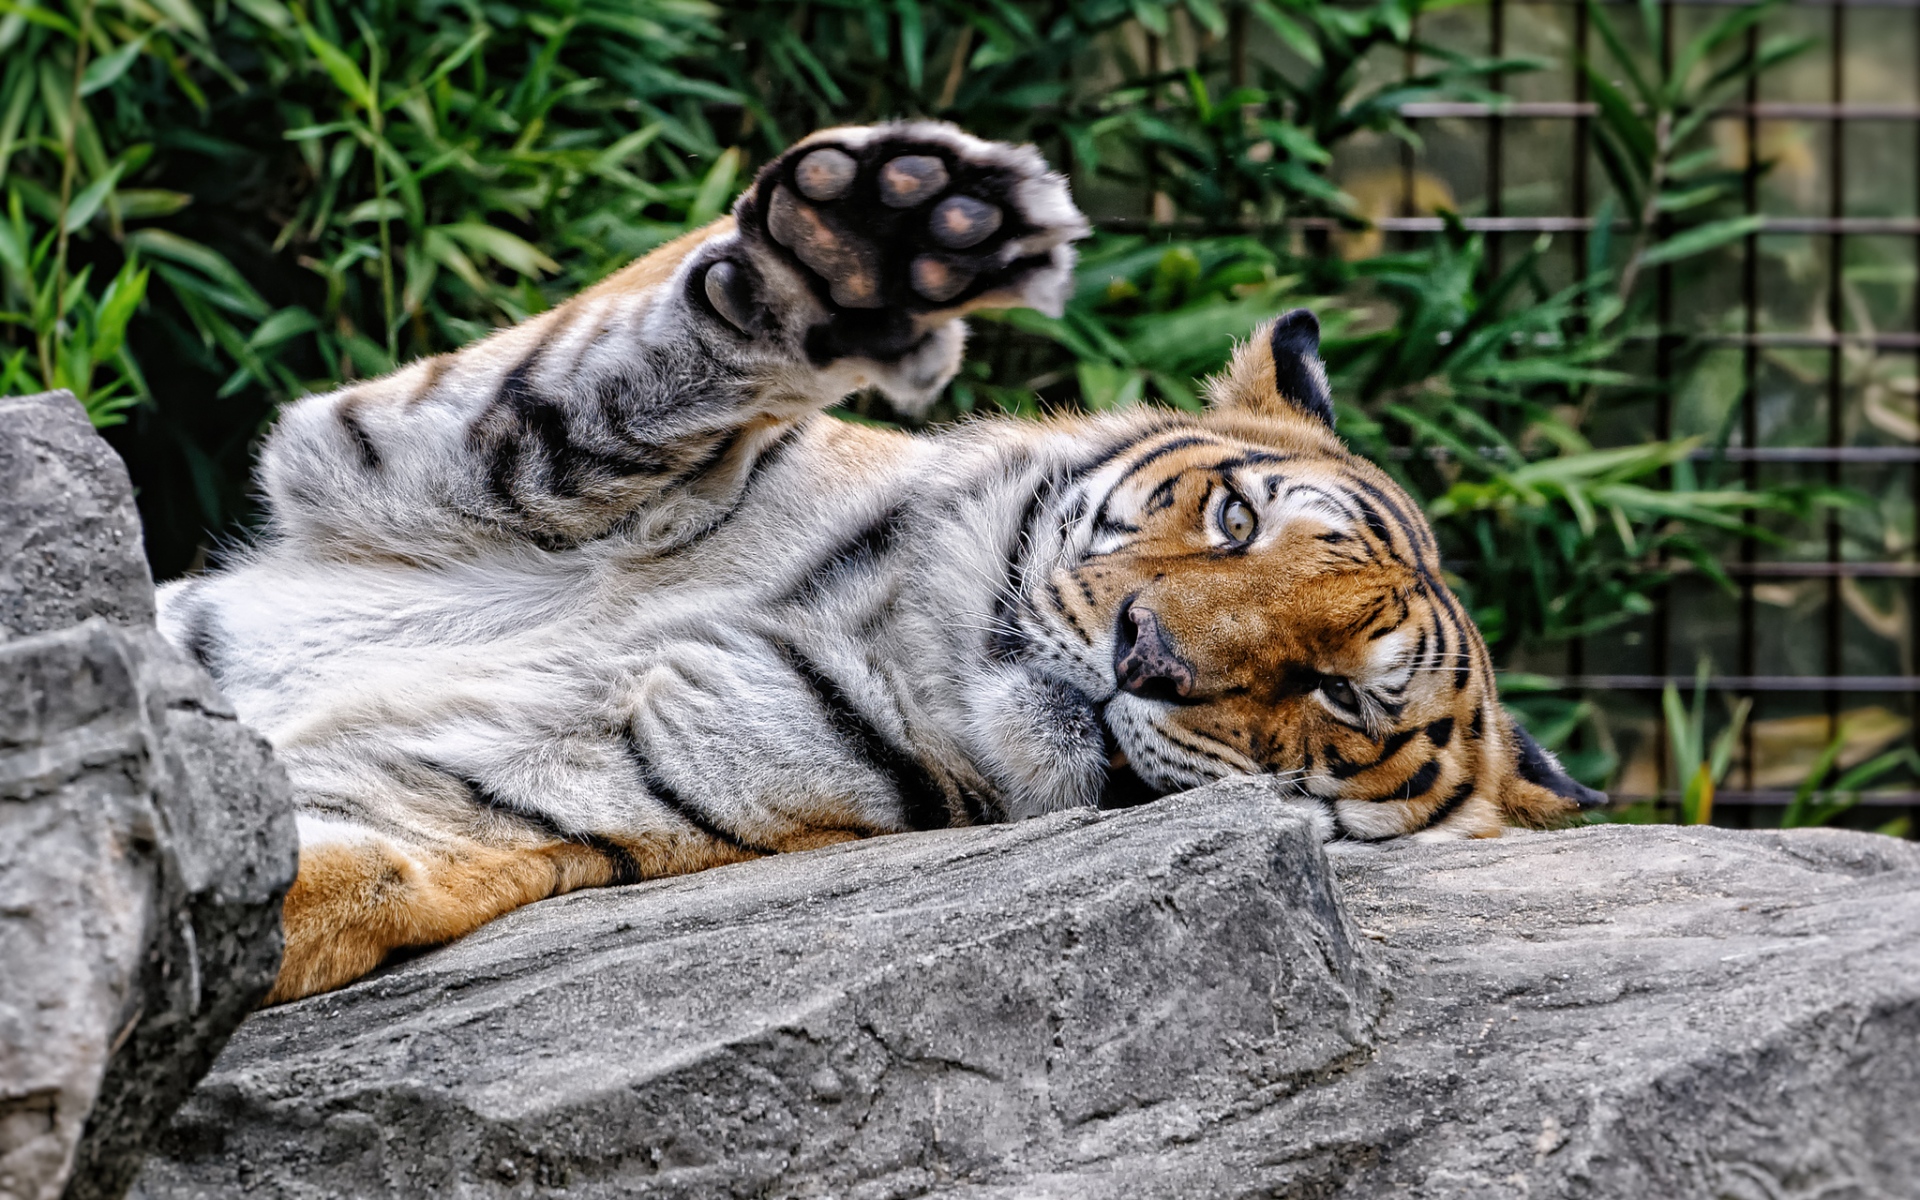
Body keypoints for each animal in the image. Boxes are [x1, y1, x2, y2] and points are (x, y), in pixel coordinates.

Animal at [155, 122, 1602, 1006]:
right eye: (1238, 522)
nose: (1148, 657)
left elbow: (316, 880)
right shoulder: (382, 453)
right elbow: (605, 374)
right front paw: (871, 243)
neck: (880, 623)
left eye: (1340, 697)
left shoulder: (512, 794)